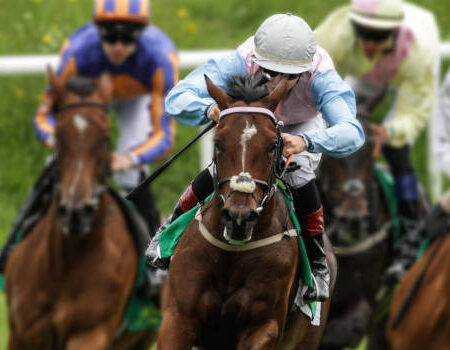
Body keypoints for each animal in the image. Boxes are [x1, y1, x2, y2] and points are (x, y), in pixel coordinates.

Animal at [4, 71, 156, 350]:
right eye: (59, 137)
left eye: (105, 139)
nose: (77, 213)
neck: (65, 262)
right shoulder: (21, 333)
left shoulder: (90, 333)